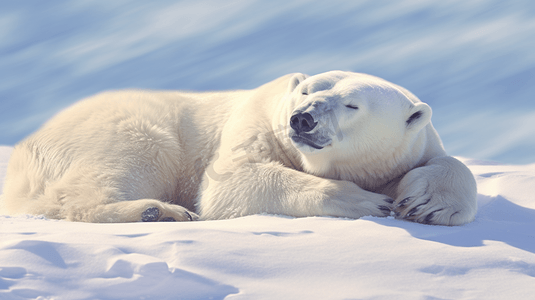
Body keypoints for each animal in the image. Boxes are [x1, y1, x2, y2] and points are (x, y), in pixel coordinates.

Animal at [0, 70, 478, 225]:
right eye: (305, 91)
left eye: (351, 103)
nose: (301, 119)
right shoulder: (254, 123)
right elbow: (233, 182)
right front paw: (367, 201)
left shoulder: (413, 148)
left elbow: (447, 163)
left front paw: (427, 205)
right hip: (121, 127)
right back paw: (158, 209)